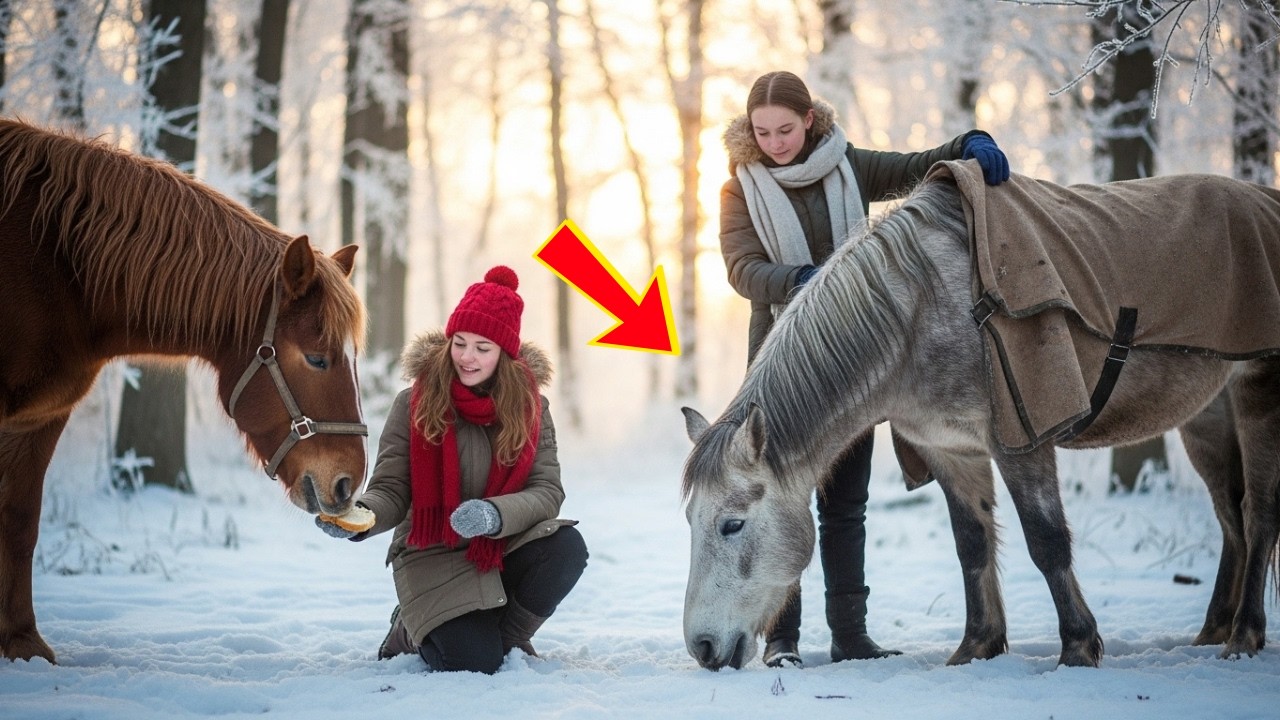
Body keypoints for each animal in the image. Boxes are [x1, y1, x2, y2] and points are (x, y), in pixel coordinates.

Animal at [0, 119, 369, 664]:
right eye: (318, 358)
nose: (347, 483)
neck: (56, 267)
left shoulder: (40, 419)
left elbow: (21, 522)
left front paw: (23, 644)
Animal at [680, 163, 1280, 670]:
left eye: (732, 524)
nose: (702, 647)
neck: (918, 312)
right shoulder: (951, 450)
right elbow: (972, 543)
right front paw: (977, 647)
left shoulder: (1021, 441)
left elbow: (1046, 540)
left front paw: (1078, 648)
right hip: (1206, 417)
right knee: (1231, 518)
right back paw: (1213, 630)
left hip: (1259, 395)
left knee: (1259, 517)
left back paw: (1243, 637)